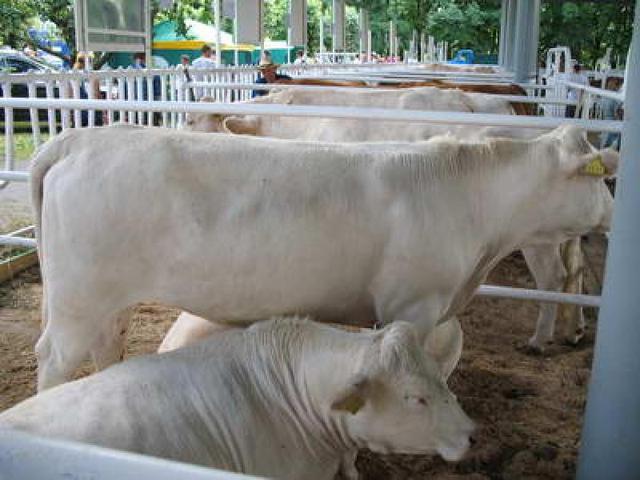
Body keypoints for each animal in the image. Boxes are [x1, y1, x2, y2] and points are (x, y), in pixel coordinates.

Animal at [31, 124, 616, 391]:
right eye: (601, 178)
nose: (614, 212)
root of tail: (83, 138)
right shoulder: (414, 305)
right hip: (79, 298)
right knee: (54, 358)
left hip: (109, 299)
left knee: (108, 344)